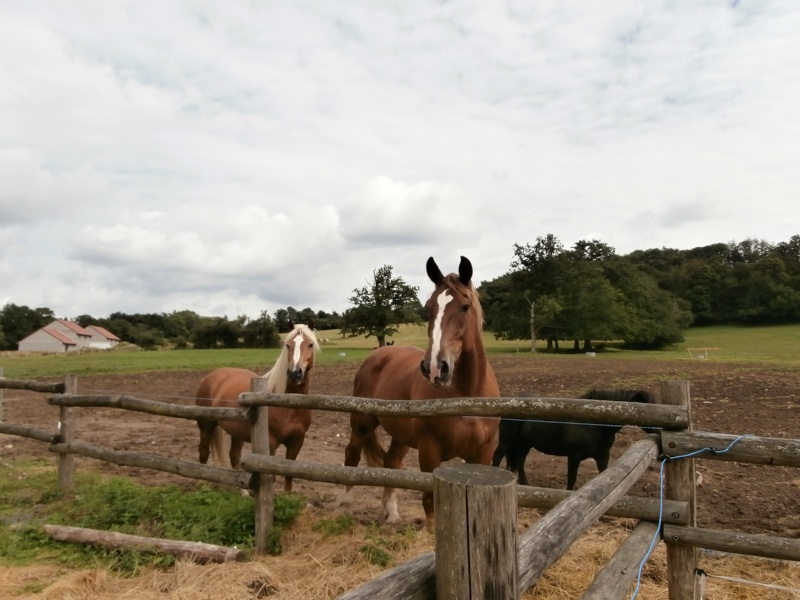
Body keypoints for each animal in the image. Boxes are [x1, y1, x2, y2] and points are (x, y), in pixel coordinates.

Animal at [195, 322, 318, 490]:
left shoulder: (297, 442)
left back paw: (243, 491)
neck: (289, 407)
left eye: (310, 344)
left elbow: (289, 474)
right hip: (206, 425)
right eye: (288, 345)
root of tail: (211, 376)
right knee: (203, 452)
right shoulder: (270, 443)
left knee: (234, 455)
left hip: (236, 432)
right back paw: (201, 484)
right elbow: (271, 476)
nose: (295, 373)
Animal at [336, 255, 500, 528]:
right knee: (352, 456)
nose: (435, 367)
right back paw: (345, 506)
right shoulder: (429, 450)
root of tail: (377, 354)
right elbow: (430, 501)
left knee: (391, 463)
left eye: (465, 307)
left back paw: (391, 515)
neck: (466, 397)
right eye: (428, 308)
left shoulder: (483, 454)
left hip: (400, 435)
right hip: (361, 423)